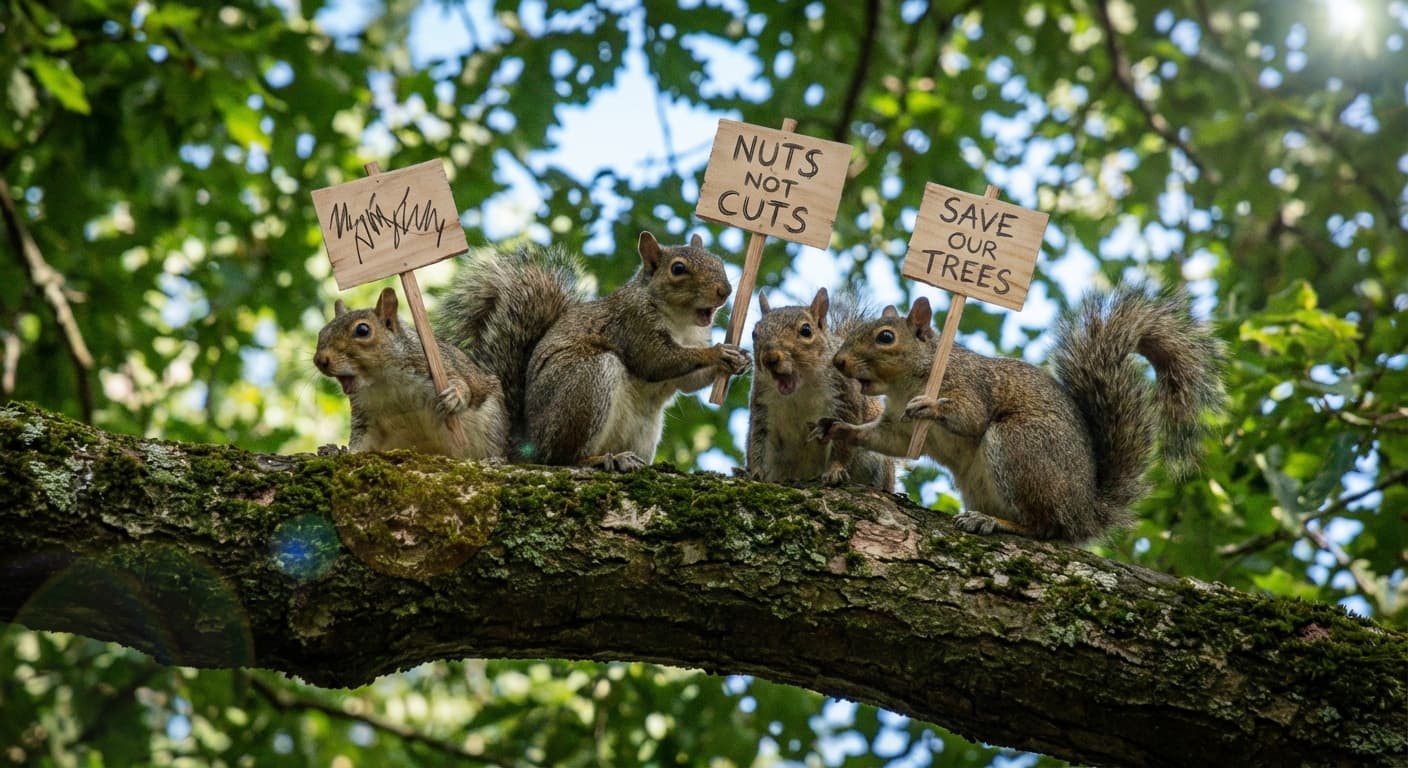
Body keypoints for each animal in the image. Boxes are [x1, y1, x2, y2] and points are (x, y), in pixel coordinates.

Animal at [314, 287, 508, 460]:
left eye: (363, 330)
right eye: (321, 331)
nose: (320, 360)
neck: (383, 380)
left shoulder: (432, 364)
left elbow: (461, 384)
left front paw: (454, 396)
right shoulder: (364, 414)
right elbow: (361, 441)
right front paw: (338, 451)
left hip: (491, 423)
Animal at [439, 231, 750, 471]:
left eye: (718, 261)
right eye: (678, 269)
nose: (725, 290)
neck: (683, 323)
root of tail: (529, 443)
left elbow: (687, 381)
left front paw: (738, 360)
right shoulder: (633, 324)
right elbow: (656, 361)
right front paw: (717, 353)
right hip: (586, 382)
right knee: (561, 458)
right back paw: (599, 459)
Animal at [746, 287, 894, 491]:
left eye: (806, 330)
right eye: (754, 333)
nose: (769, 358)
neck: (800, 389)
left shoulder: (844, 399)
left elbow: (842, 442)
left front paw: (835, 471)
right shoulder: (762, 407)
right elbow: (757, 441)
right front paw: (756, 473)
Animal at [815, 284, 1223, 542]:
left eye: (886, 337)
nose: (838, 361)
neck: (905, 385)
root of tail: (1083, 511)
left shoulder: (968, 384)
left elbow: (970, 417)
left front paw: (930, 407)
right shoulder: (898, 428)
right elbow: (884, 440)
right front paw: (837, 428)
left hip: (1020, 445)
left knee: (1044, 527)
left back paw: (991, 522)